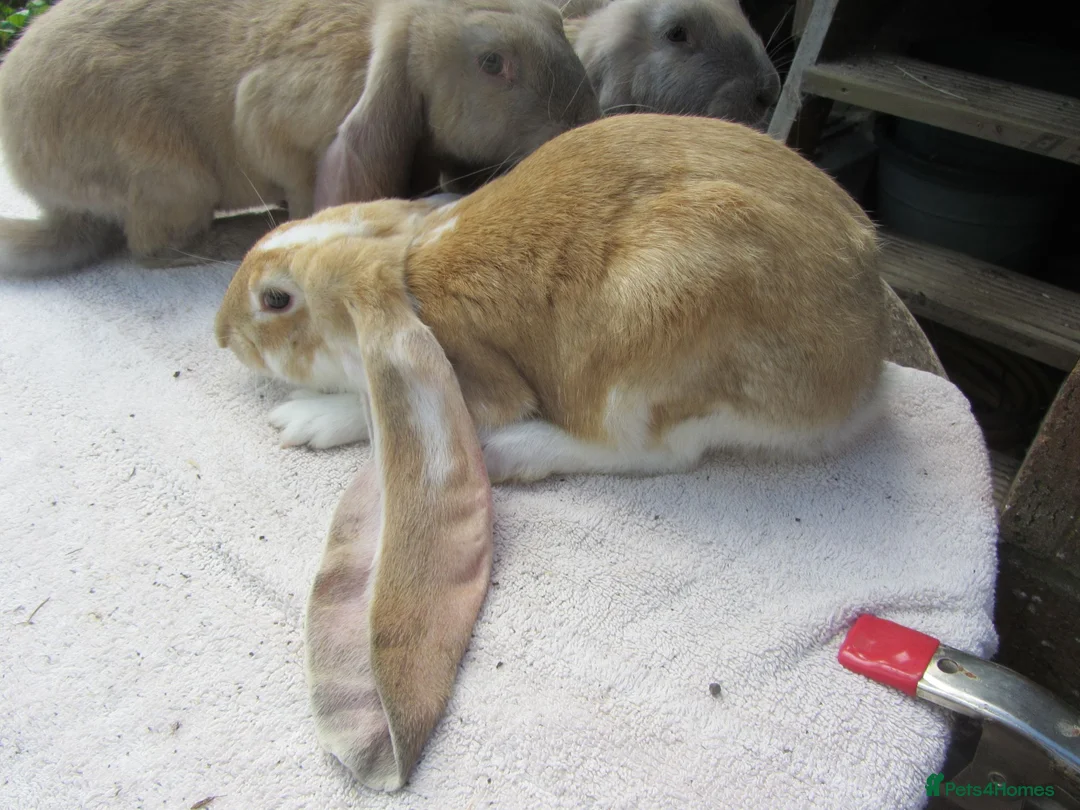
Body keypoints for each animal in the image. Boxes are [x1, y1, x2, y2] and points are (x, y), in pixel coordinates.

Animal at [0, 0, 598, 277]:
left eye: (555, 18)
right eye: (492, 63)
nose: (581, 123)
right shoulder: (273, 118)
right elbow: (297, 178)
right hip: (171, 177)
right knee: (151, 247)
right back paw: (238, 236)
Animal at [214, 113, 888, 485]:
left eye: (275, 300)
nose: (221, 336)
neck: (409, 264)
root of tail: (858, 386)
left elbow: (389, 402)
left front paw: (303, 419)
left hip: (646, 350)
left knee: (657, 453)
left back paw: (513, 454)